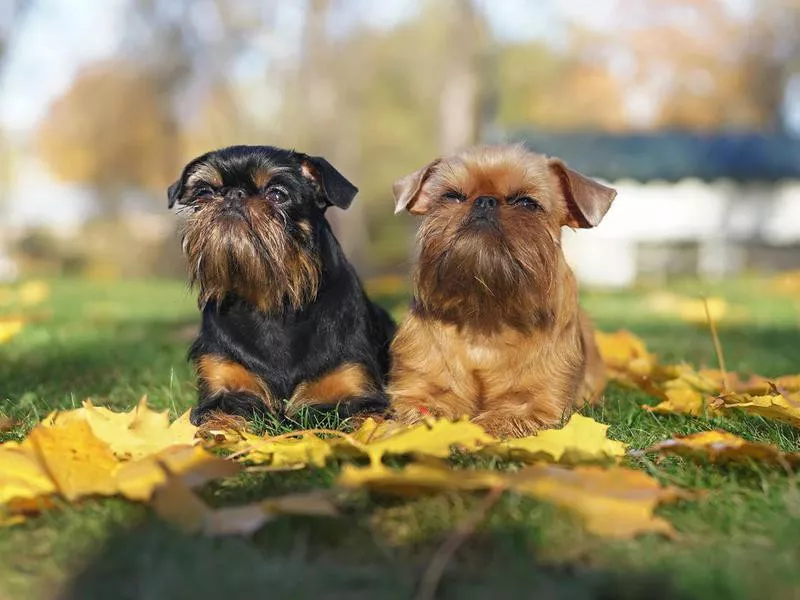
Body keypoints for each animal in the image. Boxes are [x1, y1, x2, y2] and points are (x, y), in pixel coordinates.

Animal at [169, 145, 394, 426]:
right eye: (205, 193)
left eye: (277, 194)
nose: (233, 194)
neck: (273, 303)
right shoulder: (222, 394)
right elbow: (216, 424)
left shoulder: (361, 395)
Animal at [390, 144, 620, 438]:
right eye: (452, 196)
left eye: (527, 203)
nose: (485, 201)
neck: (486, 316)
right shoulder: (418, 393)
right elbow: (423, 415)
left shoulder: (536, 404)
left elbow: (500, 420)